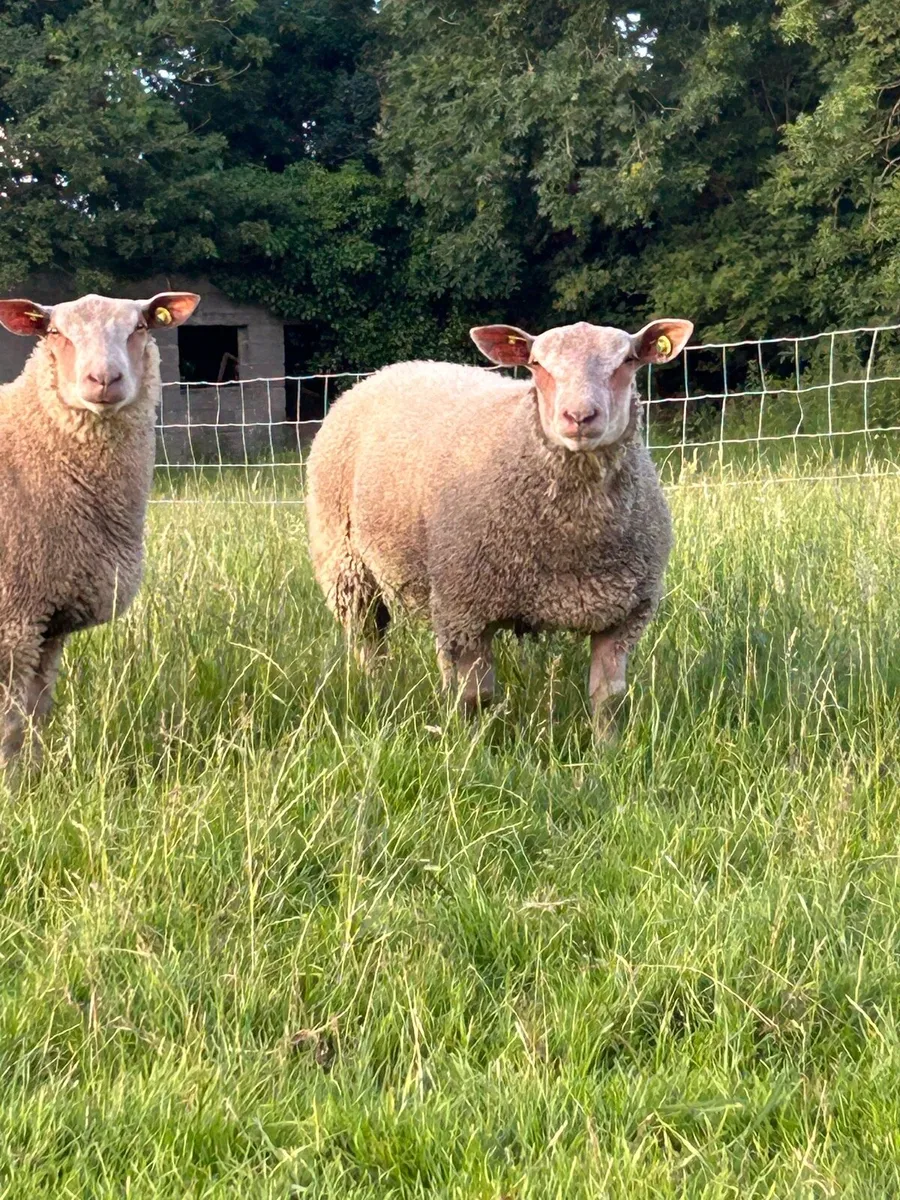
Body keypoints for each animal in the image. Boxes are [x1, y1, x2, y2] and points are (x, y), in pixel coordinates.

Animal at [0, 290, 200, 768]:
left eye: (140, 327)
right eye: (55, 332)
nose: (104, 378)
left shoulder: (47, 618)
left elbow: (35, 714)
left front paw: (34, 778)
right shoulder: (13, 619)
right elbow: (9, 725)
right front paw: (12, 782)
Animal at [306, 316, 693, 740]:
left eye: (627, 361)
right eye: (537, 365)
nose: (579, 417)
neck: (574, 545)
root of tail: (386, 371)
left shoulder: (624, 616)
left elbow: (608, 698)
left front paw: (608, 750)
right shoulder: (468, 608)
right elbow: (477, 696)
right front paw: (472, 747)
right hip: (346, 564)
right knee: (368, 640)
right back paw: (376, 690)